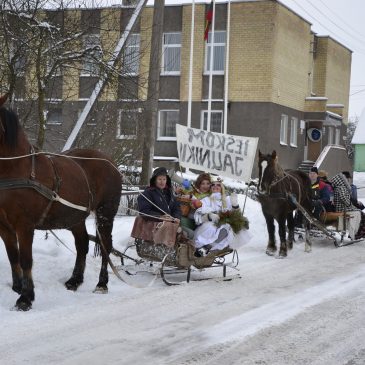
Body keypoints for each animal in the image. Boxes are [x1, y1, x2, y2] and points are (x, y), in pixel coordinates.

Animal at [0, 94, 122, 310]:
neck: (16, 168)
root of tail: (110, 162)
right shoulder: (4, 227)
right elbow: (13, 257)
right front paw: (17, 287)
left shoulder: (25, 225)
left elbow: (25, 259)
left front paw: (25, 297)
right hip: (75, 217)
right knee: (82, 244)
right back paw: (75, 280)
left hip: (106, 213)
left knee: (105, 246)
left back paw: (102, 283)